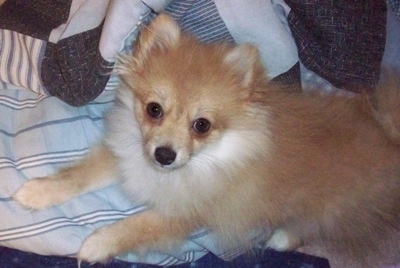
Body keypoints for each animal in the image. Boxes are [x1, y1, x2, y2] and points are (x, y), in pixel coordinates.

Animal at [13, 13, 400, 266]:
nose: (164, 155)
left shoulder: (189, 211)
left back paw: (281, 238)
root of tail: (386, 136)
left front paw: (97, 244)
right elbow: (79, 176)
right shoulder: (131, 154)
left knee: (315, 229)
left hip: (333, 208)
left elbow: (138, 225)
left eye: (202, 125)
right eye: (154, 109)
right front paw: (39, 191)